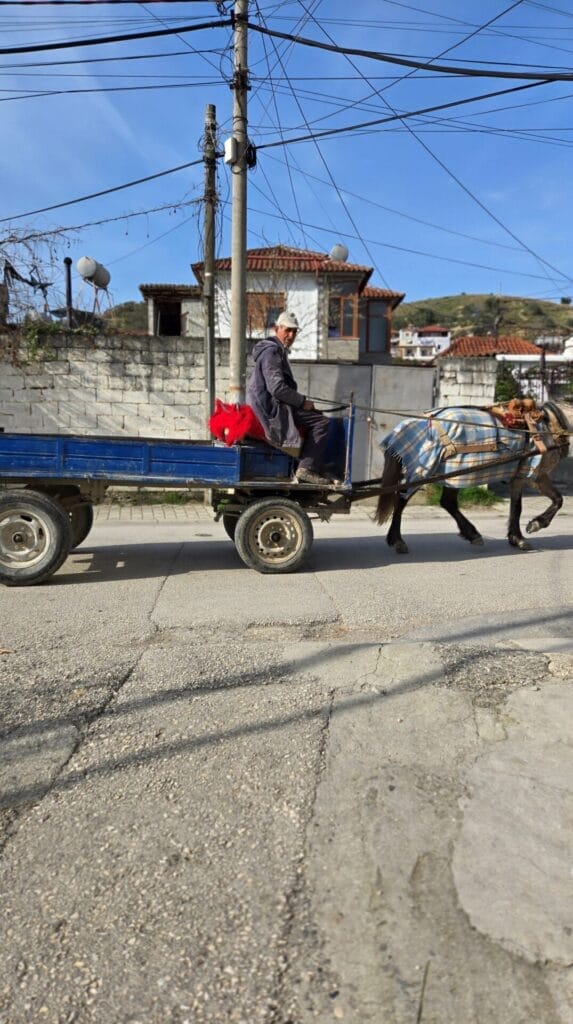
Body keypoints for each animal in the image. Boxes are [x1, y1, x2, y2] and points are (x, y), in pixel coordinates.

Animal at [376, 401, 568, 561]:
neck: (551, 425)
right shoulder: (536, 475)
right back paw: (397, 540)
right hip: (427, 471)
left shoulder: (519, 477)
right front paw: (536, 524)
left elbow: (518, 507)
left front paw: (517, 538)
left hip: (451, 473)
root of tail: (413, 424)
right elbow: (556, 500)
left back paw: (471, 534)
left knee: (446, 502)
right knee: (401, 500)